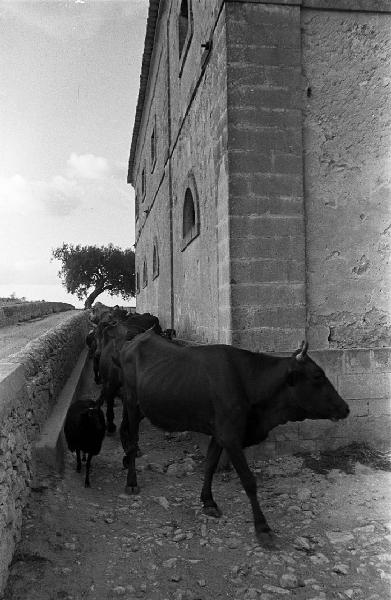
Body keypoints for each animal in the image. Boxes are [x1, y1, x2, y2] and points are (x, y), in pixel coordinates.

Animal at [118, 330, 350, 552]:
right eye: (317, 375)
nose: (345, 408)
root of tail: (134, 340)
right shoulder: (230, 437)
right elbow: (249, 481)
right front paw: (263, 529)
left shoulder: (219, 433)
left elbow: (210, 464)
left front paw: (208, 501)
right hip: (131, 402)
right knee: (132, 442)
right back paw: (131, 482)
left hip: (145, 406)